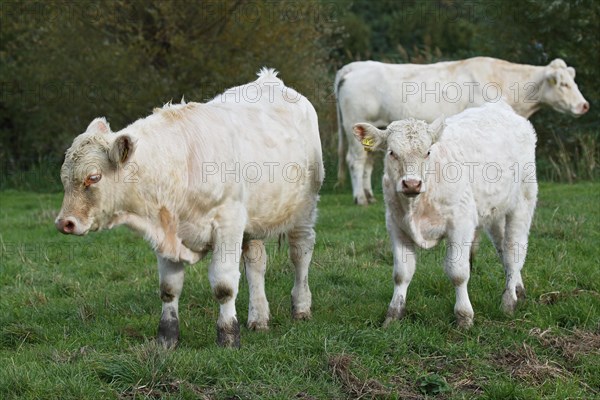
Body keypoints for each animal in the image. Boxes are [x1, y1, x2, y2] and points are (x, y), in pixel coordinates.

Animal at [56, 68, 326, 346]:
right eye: (63, 177)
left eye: (94, 177)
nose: (65, 222)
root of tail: (270, 79)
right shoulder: (166, 232)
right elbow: (169, 288)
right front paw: (167, 338)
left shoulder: (228, 224)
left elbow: (224, 285)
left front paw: (228, 336)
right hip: (254, 219)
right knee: (256, 264)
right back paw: (259, 318)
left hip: (304, 210)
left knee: (300, 253)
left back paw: (301, 308)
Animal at [338, 57, 592, 203]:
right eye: (564, 84)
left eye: (573, 82)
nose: (584, 105)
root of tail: (354, 66)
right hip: (356, 122)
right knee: (355, 161)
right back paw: (360, 198)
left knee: (367, 163)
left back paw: (369, 196)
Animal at [354, 101, 536, 328]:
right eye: (392, 152)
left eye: (427, 152)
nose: (411, 184)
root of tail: (499, 106)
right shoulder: (396, 226)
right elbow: (402, 273)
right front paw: (393, 315)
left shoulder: (461, 224)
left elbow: (458, 273)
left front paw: (464, 317)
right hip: (495, 212)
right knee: (503, 249)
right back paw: (519, 291)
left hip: (523, 200)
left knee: (513, 252)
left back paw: (509, 301)